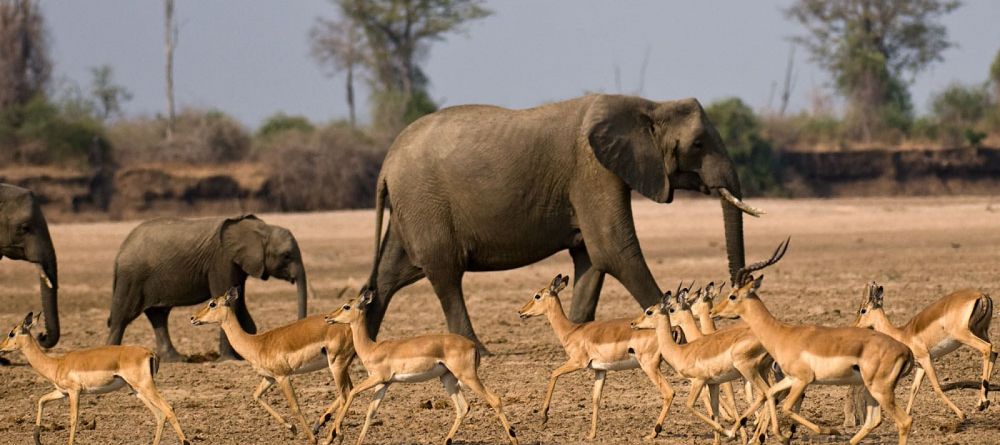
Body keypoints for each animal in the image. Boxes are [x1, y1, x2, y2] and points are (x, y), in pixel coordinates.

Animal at [106, 214, 309, 361]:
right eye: (286, 256)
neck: (260, 229)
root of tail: (120, 251)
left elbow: (239, 303)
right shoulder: (221, 260)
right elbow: (231, 302)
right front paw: (229, 360)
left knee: (158, 315)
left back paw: (176, 359)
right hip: (132, 277)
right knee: (121, 318)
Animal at [363, 94, 763, 351]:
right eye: (698, 144)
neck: (649, 105)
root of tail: (385, 163)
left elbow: (591, 259)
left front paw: (580, 334)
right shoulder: (593, 171)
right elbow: (614, 250)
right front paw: (677, 334)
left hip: (411, 208)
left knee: (388, 276)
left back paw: (363, 348)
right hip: (424, 202)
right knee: (446, 275)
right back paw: (477, 349)